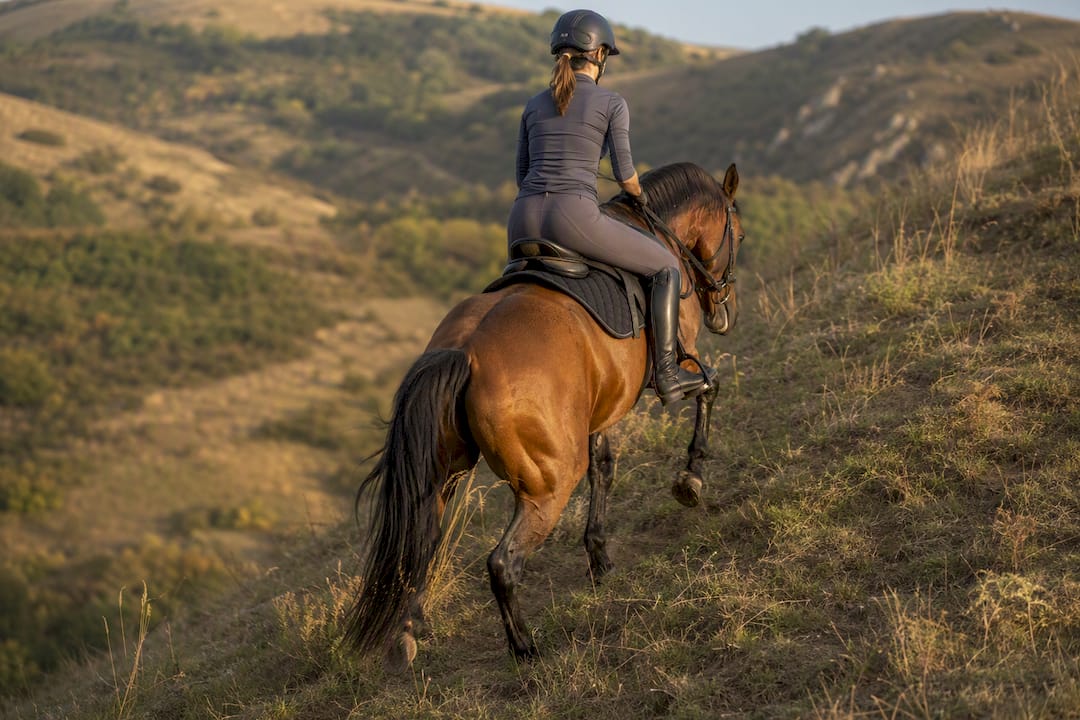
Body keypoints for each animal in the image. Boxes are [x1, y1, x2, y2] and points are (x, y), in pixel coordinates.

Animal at [345, 161, 745, 667]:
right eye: (741, 236)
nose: (724, 315)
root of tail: (465, 352)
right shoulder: (684, 362)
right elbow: (709, 390)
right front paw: (690, 480)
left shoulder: (600, 411)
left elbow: (604, 469)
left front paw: (600, 560)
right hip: (548, 483)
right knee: (503, 562)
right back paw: (525, 648)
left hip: (443, 474)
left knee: (422, 542)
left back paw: (407, 634)